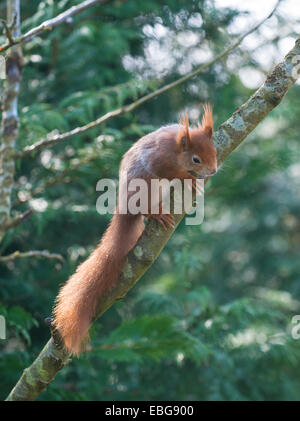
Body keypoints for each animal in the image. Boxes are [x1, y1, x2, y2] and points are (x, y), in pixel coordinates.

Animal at [52, 103, 217, 352]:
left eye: (215, 150)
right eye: (196, 159)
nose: (214, 170)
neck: (175, 149)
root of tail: (124, 206)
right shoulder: (157, 159)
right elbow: (170, 172)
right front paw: (188, 178)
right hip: (144, 187)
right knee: (143, 207)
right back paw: (156, 213)